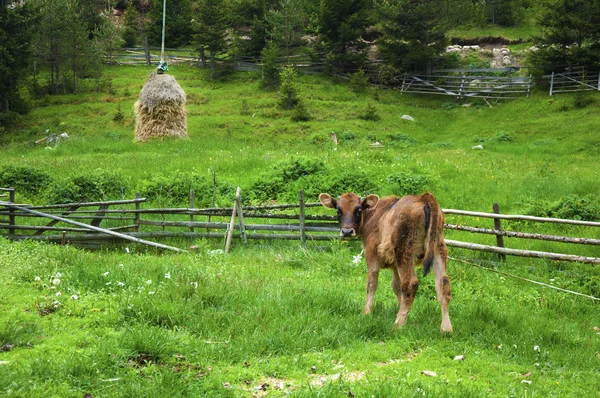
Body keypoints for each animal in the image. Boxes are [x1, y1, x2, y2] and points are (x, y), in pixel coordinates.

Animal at [322, 192, 452, 332]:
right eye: (338, 210)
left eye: (358, 210)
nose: (347, 231)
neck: (374, 214)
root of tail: (424, 197)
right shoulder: (395, 264)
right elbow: (396, 285)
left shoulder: (371, 254)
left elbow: (372, 283)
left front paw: (366, 312)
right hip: (438, 249)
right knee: (443, 285)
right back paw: (446, 328)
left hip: (404, 250)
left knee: (410, 284)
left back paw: (397, 325)